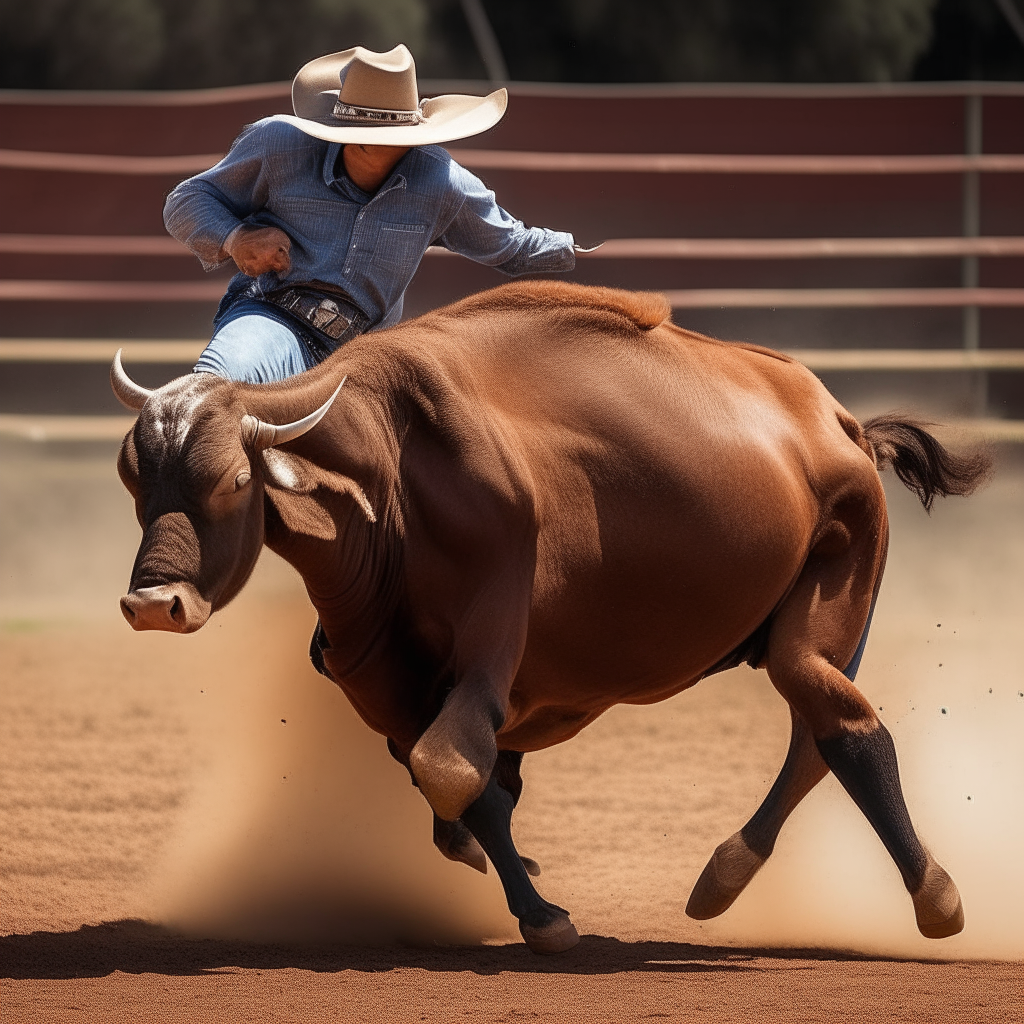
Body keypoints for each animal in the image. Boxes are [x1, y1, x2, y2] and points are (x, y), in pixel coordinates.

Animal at [114, 278, 991, 950]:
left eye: (234, 480)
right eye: (134, 480)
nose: (154, 602)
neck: (394, 466)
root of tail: (839, 422)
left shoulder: (491, 636)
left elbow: (451, 767)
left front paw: (540, 915)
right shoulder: (393, 679)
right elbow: (470, 786)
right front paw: (524, 891)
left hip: (834, 599)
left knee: (847, 732)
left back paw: (935, 895)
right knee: (817, 736)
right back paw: (726, 874)